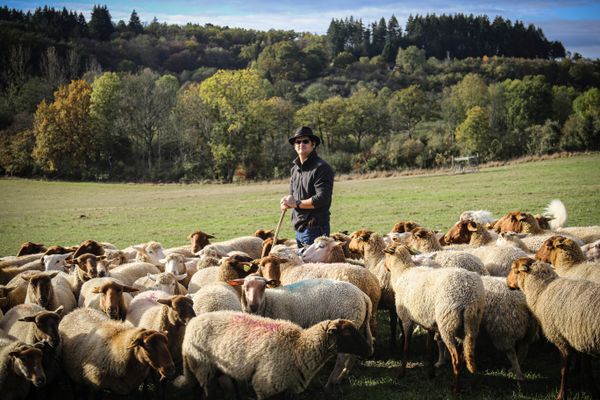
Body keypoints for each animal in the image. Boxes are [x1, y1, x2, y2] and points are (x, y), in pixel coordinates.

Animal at [172, 312, 376, 400]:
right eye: (347, 333)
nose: (369, 351)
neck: (299, 347)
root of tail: (193, 322)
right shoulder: (264, 386)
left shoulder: (288, 388)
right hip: (202, 365)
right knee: (207, 389)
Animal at [231, 276, 376, 388]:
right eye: (245, 287)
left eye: (264, 287)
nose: (253, 305)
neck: (269, 302)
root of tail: (363, 296)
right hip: (357, 326)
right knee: (352, 355)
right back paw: (342, 377)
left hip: (345, 326)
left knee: (342, 358)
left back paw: (331, 381)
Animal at [384, 241, 488, 394]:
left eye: (385, 253)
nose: (385, 267)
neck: (403, 272)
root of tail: (469, 297)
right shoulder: (429, 322)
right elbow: (429, 348)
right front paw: (431, 374)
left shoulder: (406, 319)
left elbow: (406, 347)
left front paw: (401, 373)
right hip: (472, 324)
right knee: (465, 354)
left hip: (447, 323)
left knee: (456, 358)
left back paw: (455, 389)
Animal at [508, 256, 600, 400]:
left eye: (514, 270)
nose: (507, 283)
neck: (542, 289)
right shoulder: (583, 339)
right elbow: (587, 369)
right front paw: (594, 391)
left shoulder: (562, 339)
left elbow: (564, 370)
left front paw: (561, 395)